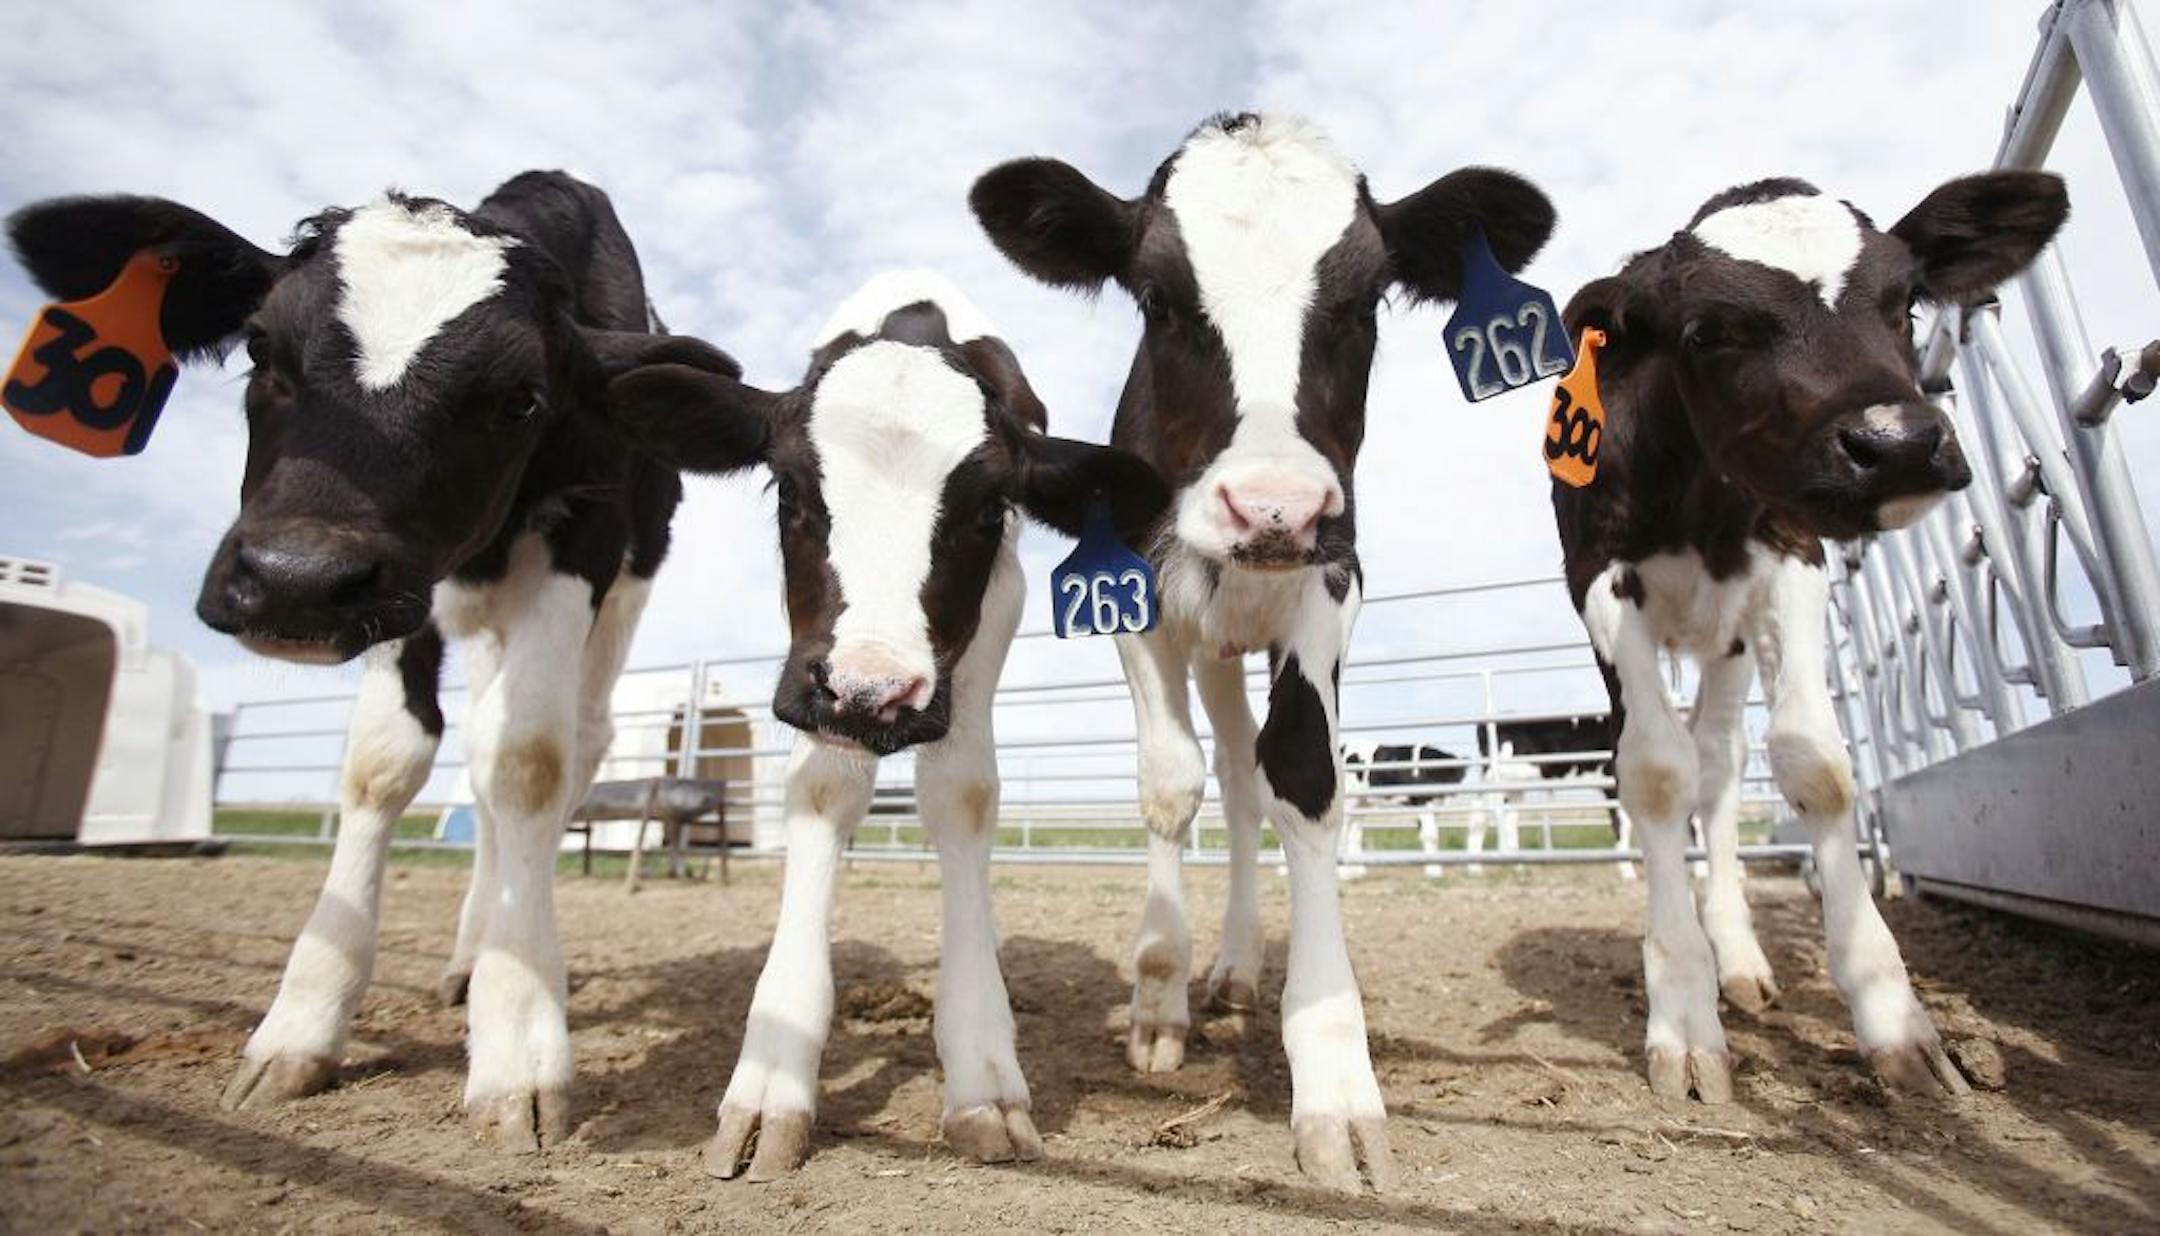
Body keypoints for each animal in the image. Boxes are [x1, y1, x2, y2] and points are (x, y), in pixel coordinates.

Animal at [6, 172, 736, 1149]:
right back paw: (469, 952)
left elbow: (530, 763)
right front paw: (302, 1024)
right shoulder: (397, 599)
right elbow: (386, 763)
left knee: (569, 744)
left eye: (523, 397)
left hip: (619, 595)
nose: (296, 578)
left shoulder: (579, 537)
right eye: (261, 346)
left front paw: (519, 1036)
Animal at [606, 269, 1169, 1178]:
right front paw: (772, 1078)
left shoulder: (999, 598)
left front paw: (983, 1072)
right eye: (790, 489)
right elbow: (824, 788)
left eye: (988, 511)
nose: (869, 691)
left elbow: (963, 793)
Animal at [971, 111, 1558, 1190]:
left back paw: (1240, 970)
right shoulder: (1142, 599)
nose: (1274, 506)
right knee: (1227, 777)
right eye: (1157, 297)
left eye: (1365, 299)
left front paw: (1333, 1074)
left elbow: (1304, 777)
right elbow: (1170, 783)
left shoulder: (1335, 581)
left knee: (1252, 778)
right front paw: (1158, 998)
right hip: (1211, 647)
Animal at [1554, 172, 2067, 1102]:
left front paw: (1891, 1015)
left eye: (1906, 301)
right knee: (1693, 764)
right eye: (1708, 331)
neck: (1696, 494)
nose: (1897, 445)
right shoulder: (1598, 577)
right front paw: (1683, 1017)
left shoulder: (1793, 552)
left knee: (1721, 767)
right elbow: (1653, 773)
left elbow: (1814, 764)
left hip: (1728, 641)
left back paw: (1740, 956)